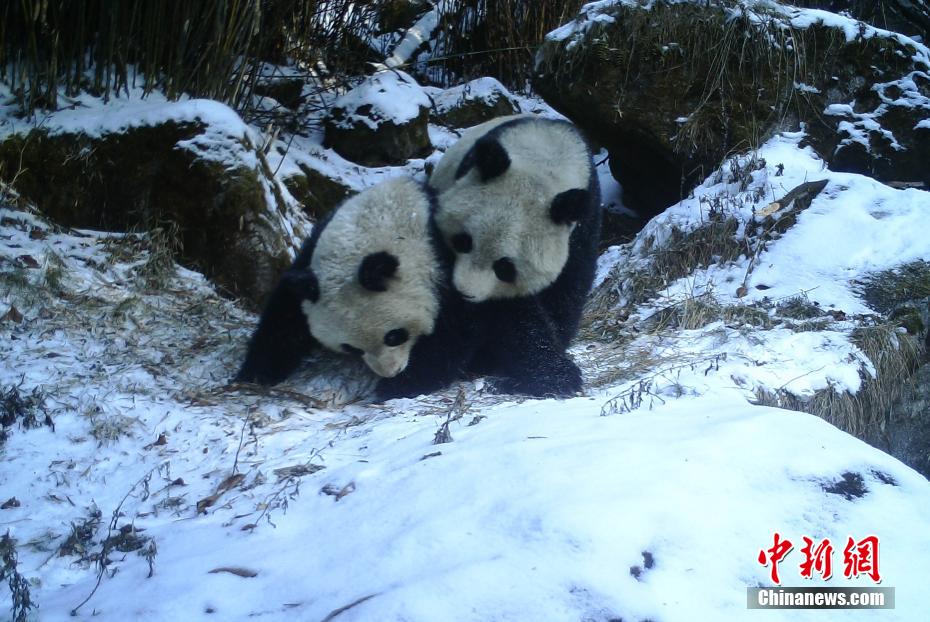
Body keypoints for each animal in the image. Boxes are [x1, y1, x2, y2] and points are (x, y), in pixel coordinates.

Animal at [234, 177, 472, 400]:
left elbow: (454, 335)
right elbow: (286, 314)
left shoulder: (449, 262)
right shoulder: (309, 264)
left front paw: (402, 384)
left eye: (393, 336)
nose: (391, 371)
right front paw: (254, 374)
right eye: (352, 348)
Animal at [426, 116, 600, 398]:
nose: (466, 292)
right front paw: (554, 374)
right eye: (463, 241)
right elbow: (511, 312)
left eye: (505, 267)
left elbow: (566, 292)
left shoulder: (583, 226)